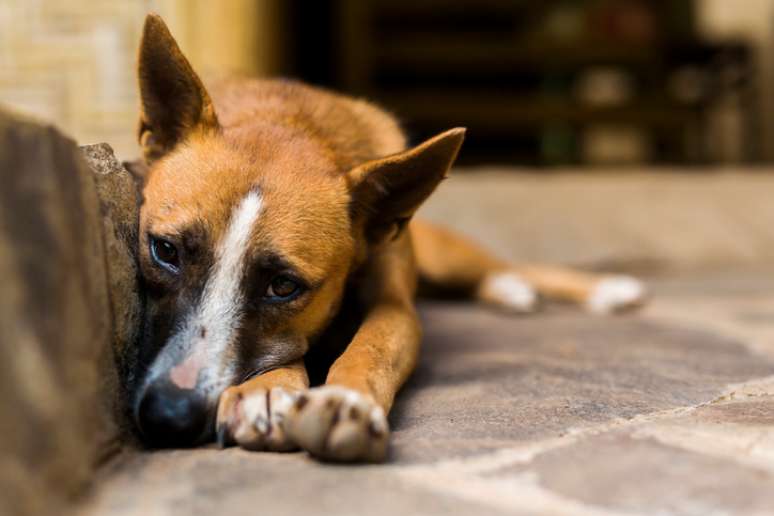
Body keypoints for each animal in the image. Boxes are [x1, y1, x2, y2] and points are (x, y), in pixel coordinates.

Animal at [133, 14, 648, 462]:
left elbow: (372, 347)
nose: (169, 415)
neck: (295, 123)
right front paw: (269, 389)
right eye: (165, 251)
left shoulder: (396, 310)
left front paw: (345, 402)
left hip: (445, 256)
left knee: (509, 265)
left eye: (283, 286)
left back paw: (588, 288)